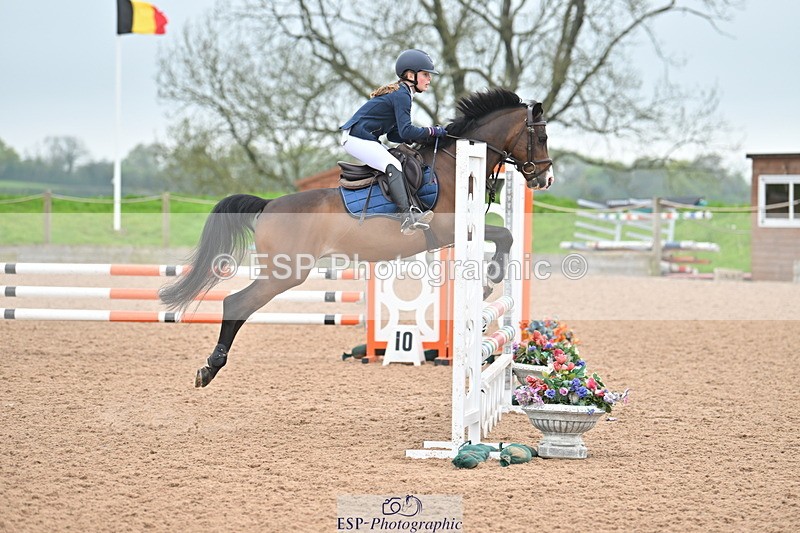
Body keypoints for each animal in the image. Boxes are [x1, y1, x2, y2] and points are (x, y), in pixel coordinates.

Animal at [159, 87, 554, 387]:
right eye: (542, 137)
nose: (544, 179)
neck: (454, 164)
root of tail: (269, 204)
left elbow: (505, 237)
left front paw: (489, 281)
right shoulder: (448, 229)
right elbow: (504, 236)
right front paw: (490, 281)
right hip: (285, 272)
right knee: (235, 304)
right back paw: (209, 369)